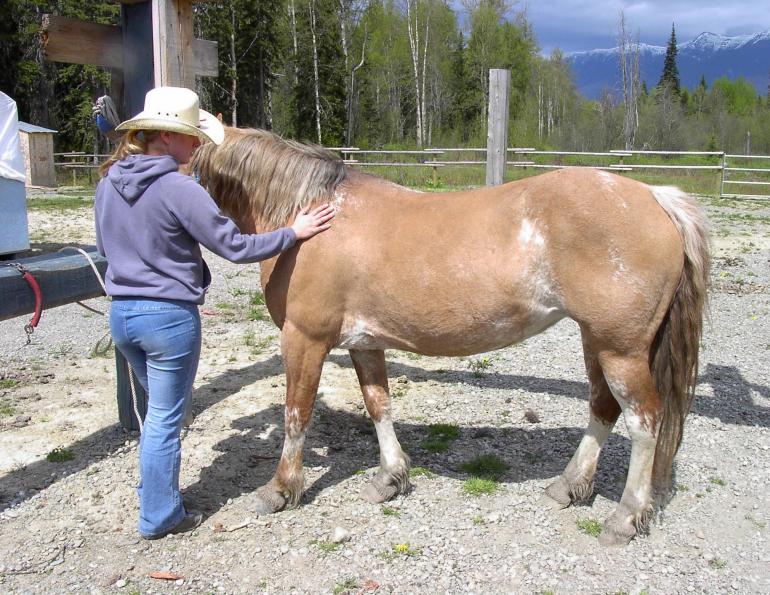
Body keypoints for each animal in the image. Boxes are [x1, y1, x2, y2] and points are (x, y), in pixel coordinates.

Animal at [192, 128, 710, 546]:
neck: (313, 216)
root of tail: (657, 197)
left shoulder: (305, 340)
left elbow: (296, 415)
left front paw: (279, 490)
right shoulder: (365, 343)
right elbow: (379, 405)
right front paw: (390, 478)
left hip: (621, 350)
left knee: (644, 422)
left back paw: (625, 518)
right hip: (596, 342)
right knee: (603, 408)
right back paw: (568, 486)